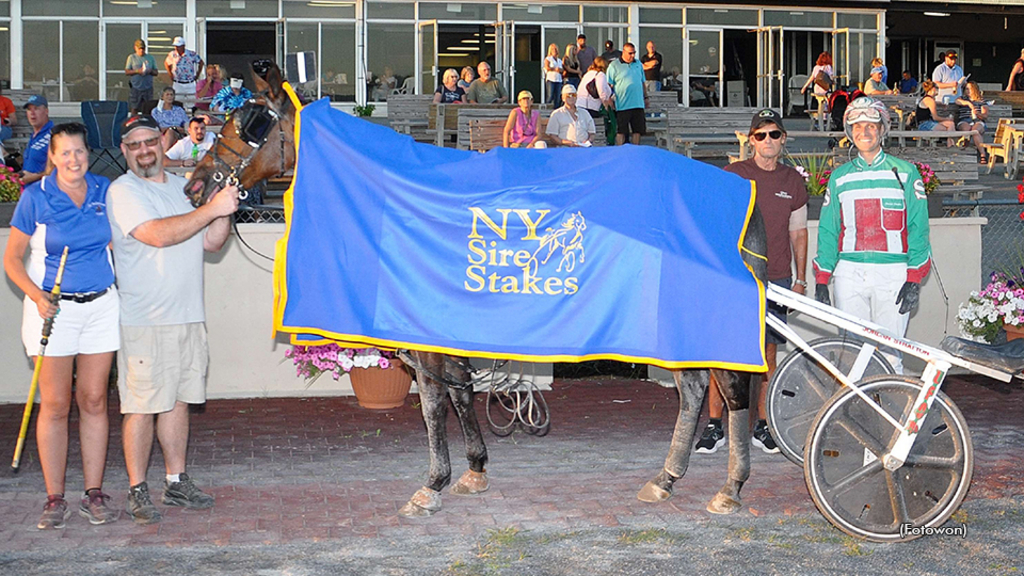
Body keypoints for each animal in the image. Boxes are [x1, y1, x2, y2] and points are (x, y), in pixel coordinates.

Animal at [186, 60, 770, 518]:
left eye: (248, 123)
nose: (194, 184)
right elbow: (461, 391)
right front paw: (474, 468)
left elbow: (434, 402)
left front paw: (433, 483)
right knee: (693, 390)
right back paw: (666, 477)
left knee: (731, 390)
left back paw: (730, 487)